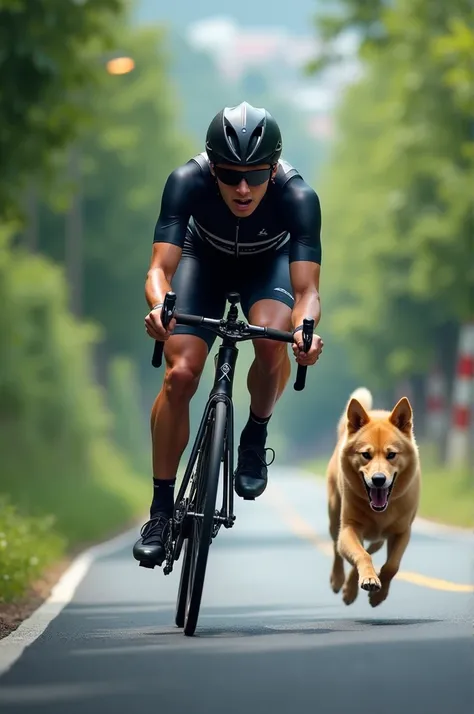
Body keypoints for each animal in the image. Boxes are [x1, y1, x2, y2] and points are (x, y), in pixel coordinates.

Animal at [328, 386, 420, 604]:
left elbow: (392, 566)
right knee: (338, 548)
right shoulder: (349, 529)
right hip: (334, 515)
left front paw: (378, 596)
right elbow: (360, 555)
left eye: (391, 454)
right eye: (366, 455)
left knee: (370, 549)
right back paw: (339, 581)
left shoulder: (402, 532)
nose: (378, 479)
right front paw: (369, 580)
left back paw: (352, 588)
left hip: (379, 538)